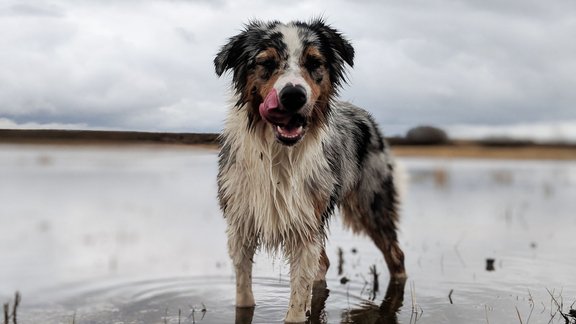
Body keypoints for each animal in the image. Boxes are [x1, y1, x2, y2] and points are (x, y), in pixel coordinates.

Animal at [214, 19, 408, 322]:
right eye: (266, 62)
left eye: (314, 62)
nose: (293, 95)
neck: (278, 153)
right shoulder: (241, 222)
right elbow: (243, 293)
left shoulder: (305, 225)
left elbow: (296, 302)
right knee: (325, 263)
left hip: (370, 203)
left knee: (396, 256)